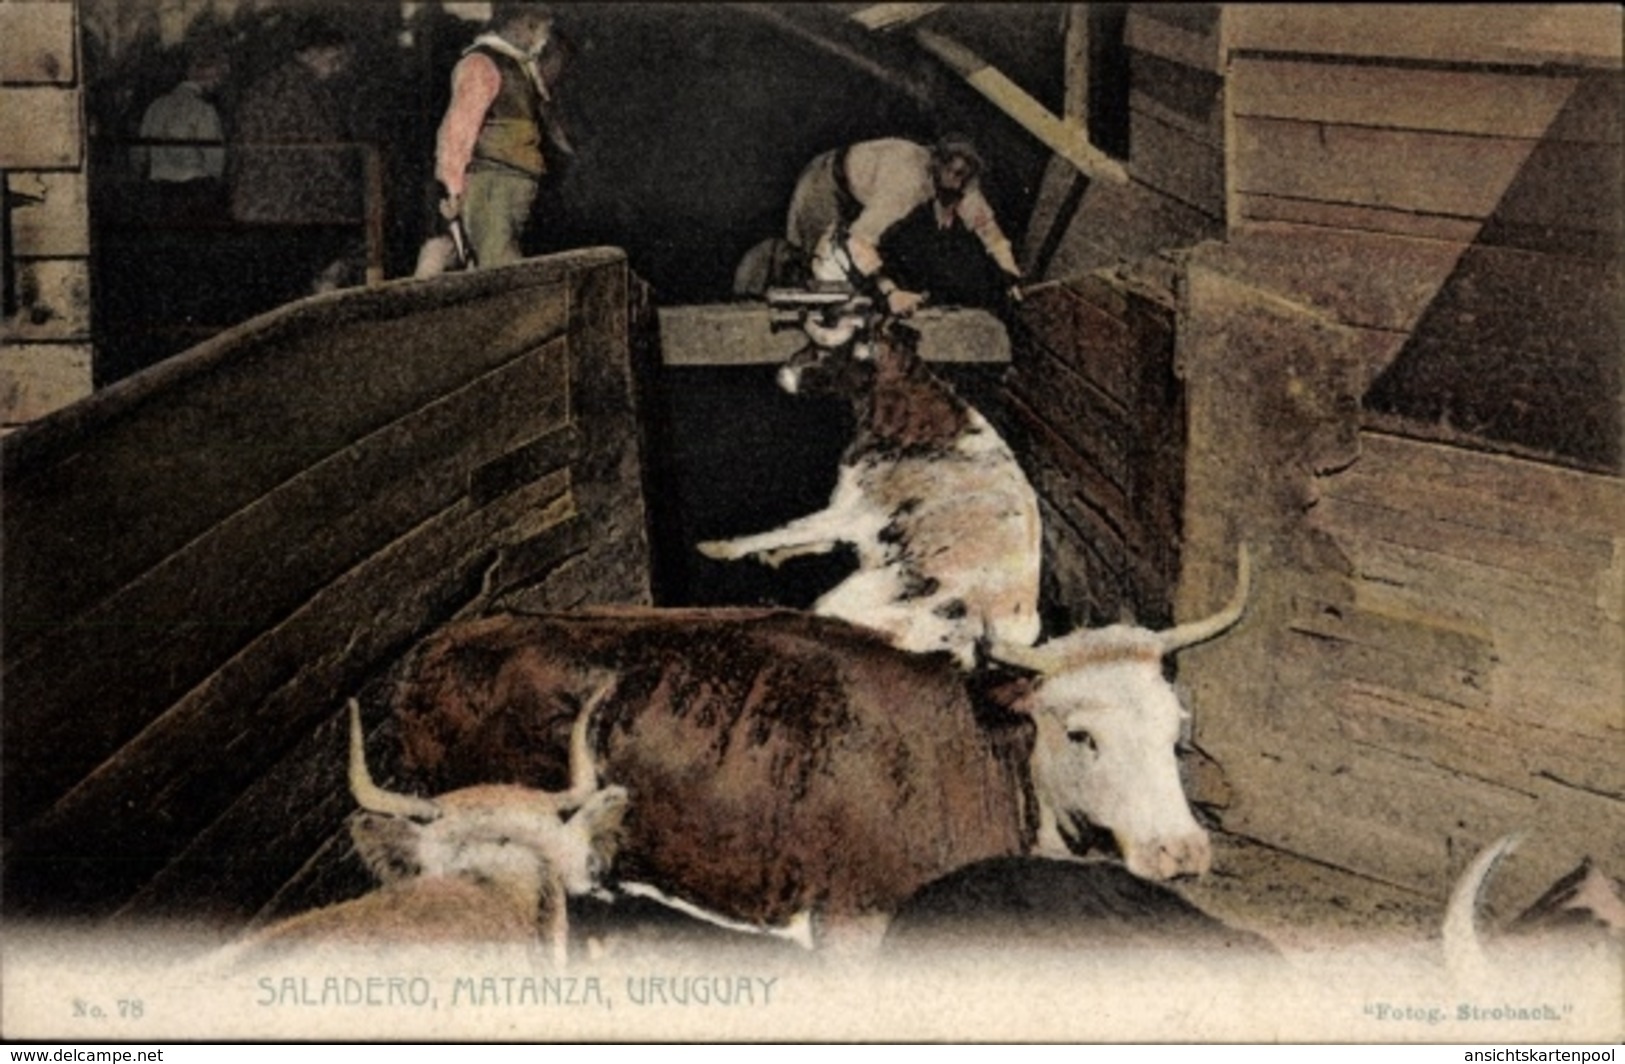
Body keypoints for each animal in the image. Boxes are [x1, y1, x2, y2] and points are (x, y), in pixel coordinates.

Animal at [698, 311, 1040, 669]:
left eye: (824, 352)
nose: (779, 373)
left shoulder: (852, 511)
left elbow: (788, 528)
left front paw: (720, 547)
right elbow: (810, 537)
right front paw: (772, 555)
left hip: (857, 594)